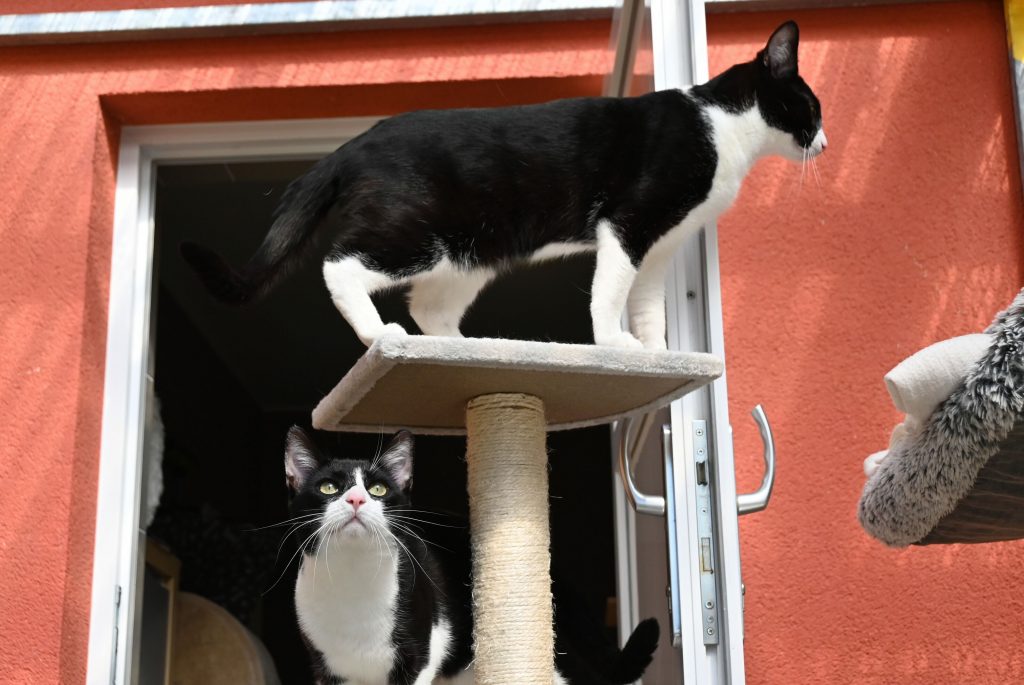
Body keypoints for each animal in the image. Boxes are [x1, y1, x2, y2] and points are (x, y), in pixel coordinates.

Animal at [183, 20, 824, 350]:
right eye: (815, 107)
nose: (823, 143)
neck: (722, 125)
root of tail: (351, 144)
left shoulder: (662, 243)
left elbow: (648, 305)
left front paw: (656, 357)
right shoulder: (629, 222)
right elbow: (610, 292)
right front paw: (612, 345)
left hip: (470, 252)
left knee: (428, 305)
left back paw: (465, 348)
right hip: (419, 233)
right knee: (341, 267)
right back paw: (378, 334)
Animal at [283, 427, 660, 685]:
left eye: (378, 489)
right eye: (328, 487)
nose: (357, 499)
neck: (353, 580)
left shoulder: (420, 657)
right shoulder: (327, 670)